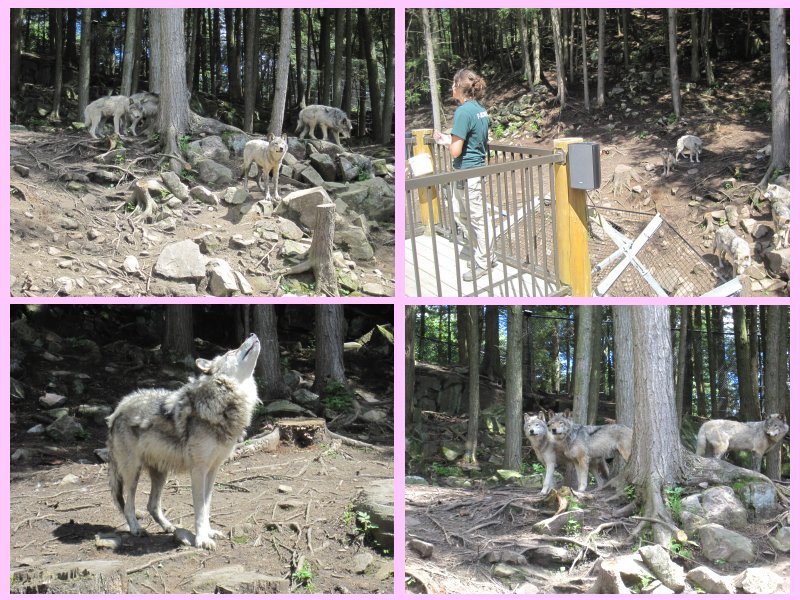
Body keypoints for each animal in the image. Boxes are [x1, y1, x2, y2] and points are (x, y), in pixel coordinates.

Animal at [106, 332, 260, 548]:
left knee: (152, 505)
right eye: (232, 351)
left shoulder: (212, 470)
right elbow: (199, 509)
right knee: (129, 505)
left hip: (160, 473)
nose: (252, 334)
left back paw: (169, 527)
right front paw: (202, 539)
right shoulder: (198, 470)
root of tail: (117, 410)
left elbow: (206, 506)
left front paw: (209, 533)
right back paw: (137, 529)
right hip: (132, 472)